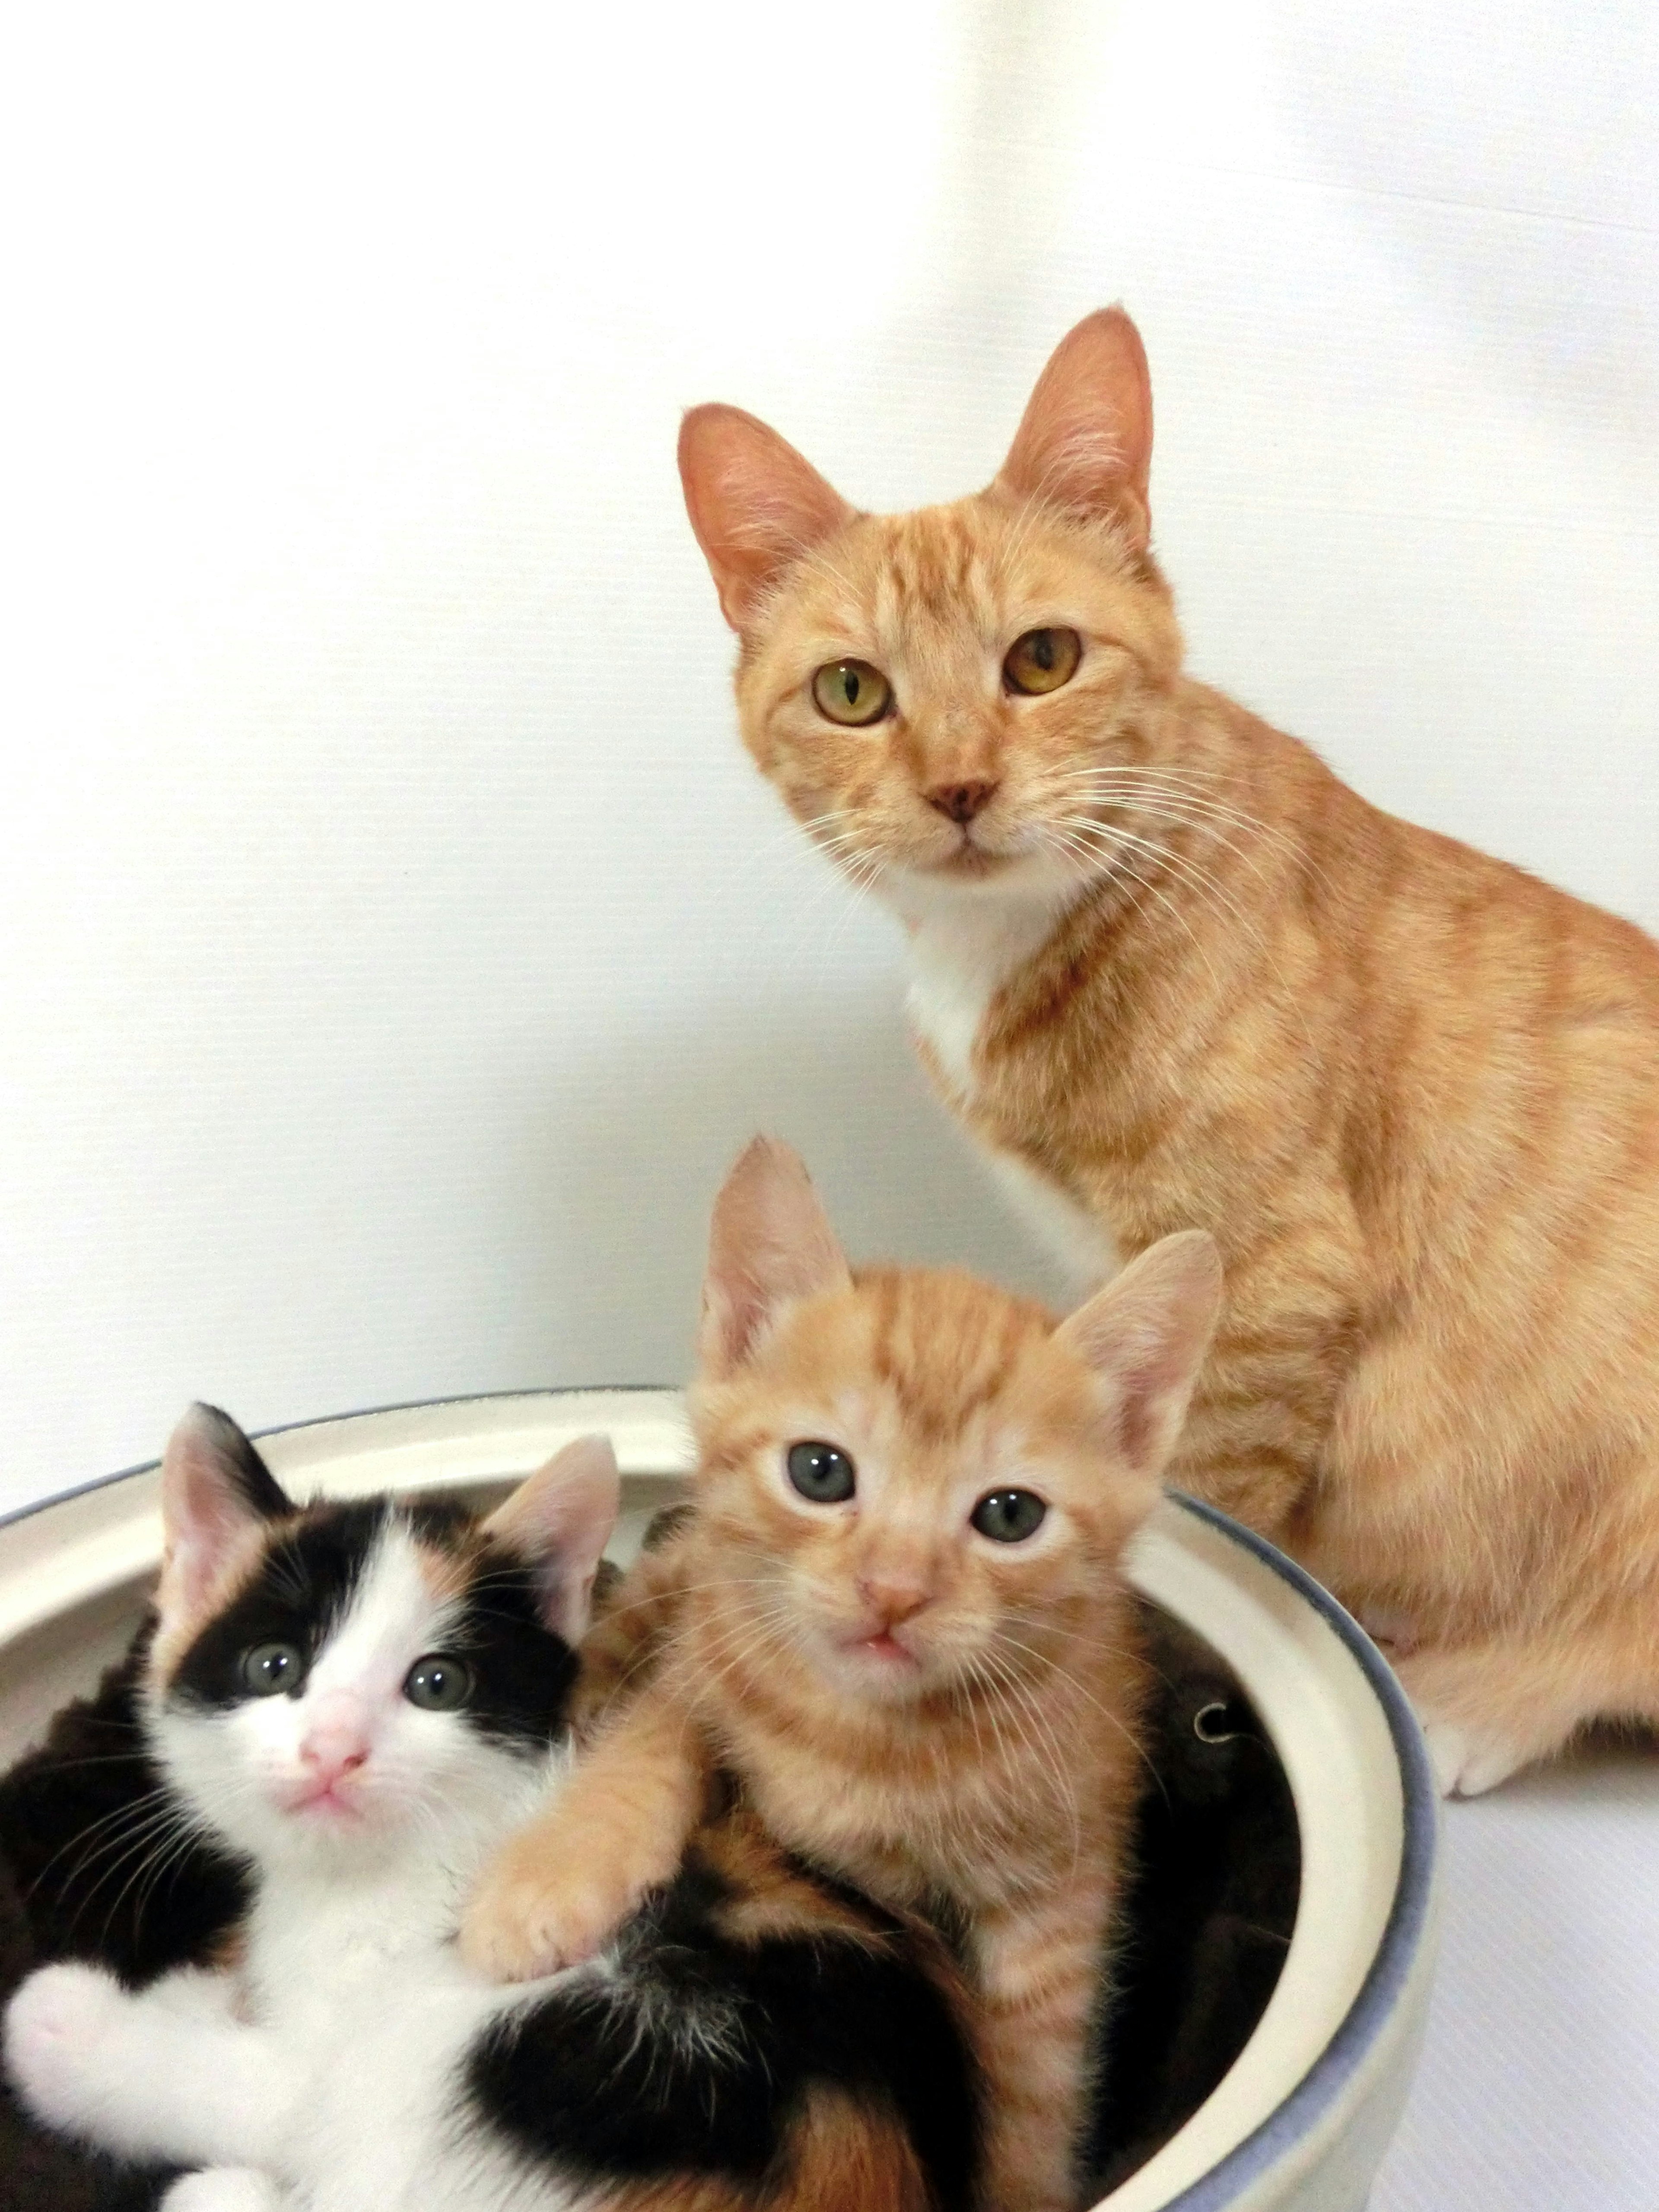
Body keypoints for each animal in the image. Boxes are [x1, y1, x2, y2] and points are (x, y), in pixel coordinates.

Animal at [0, 1407, 982, 2212]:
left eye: (437, 1685)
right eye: (273, 1667)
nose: (334, 1750)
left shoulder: (356, 2043)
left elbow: (250, 2088)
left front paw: (60, 2019)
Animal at [462, 1141, 1230, 2212]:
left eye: (1009, 1516)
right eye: (820, 1471)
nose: (895, 1591)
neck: (868, 1735)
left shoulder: (1056, 1884)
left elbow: (1033, 2074)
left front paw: (1023, 2184)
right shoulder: (709, 1653)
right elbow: (653, 1733)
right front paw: (551, 1871)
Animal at [668, 307, 1659, 1796]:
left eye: (1040, 660)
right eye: (851, 691)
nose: (958, 788)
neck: (1002, 940)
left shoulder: (1269, 1281)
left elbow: (1199, 1524)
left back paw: (1469, 1705)